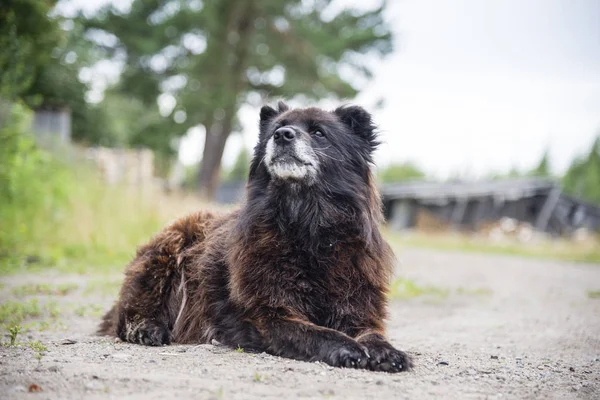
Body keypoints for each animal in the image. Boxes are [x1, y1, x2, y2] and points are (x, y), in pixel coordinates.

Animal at [101, 101, 414, 374]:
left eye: (318, 132)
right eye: (279, 127)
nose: (282, 135)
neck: (308, 229)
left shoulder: (358, 308)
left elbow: (373, 333)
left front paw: (387, 352)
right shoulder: (268, 314)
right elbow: (316, 332)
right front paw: (348, 348)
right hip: (165, 254)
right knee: (126, 315)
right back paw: (147, 329)